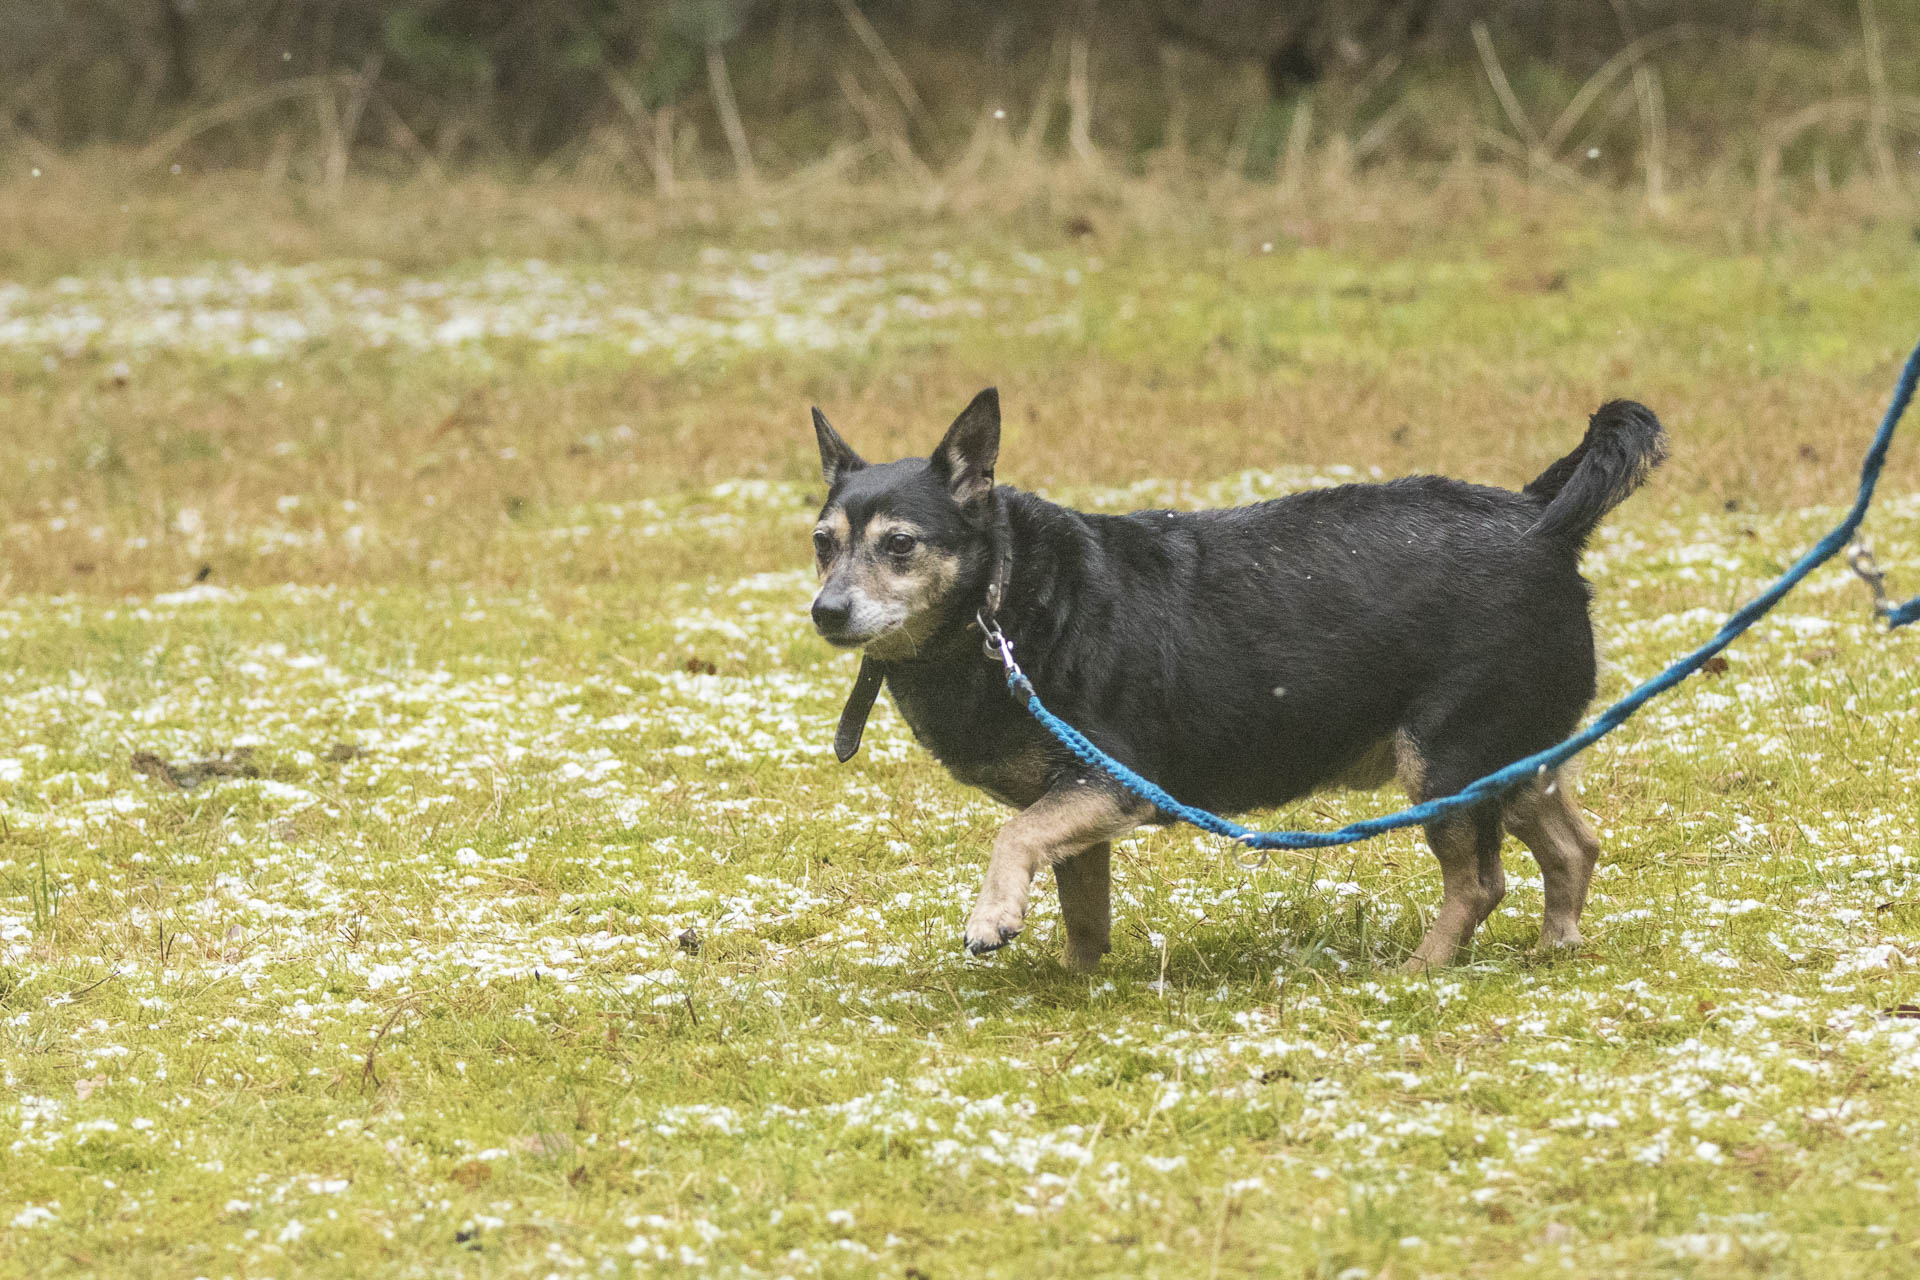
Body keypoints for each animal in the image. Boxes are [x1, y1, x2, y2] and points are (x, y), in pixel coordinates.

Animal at [807, 388, 1666, 971]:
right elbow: (1082, 909)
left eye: (900, 545)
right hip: (1515, 757)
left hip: (1449, 761)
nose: (825, 611)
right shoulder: (1079, 807)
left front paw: (992, 918)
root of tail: (1534, 515)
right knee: (1574, 846)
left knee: (1483, 883)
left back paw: (1421, 967)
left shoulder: (1112, 782)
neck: (1006, 597)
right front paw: (1078, 982)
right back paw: (1556, 946)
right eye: (821, 542)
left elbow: (1012, 836)